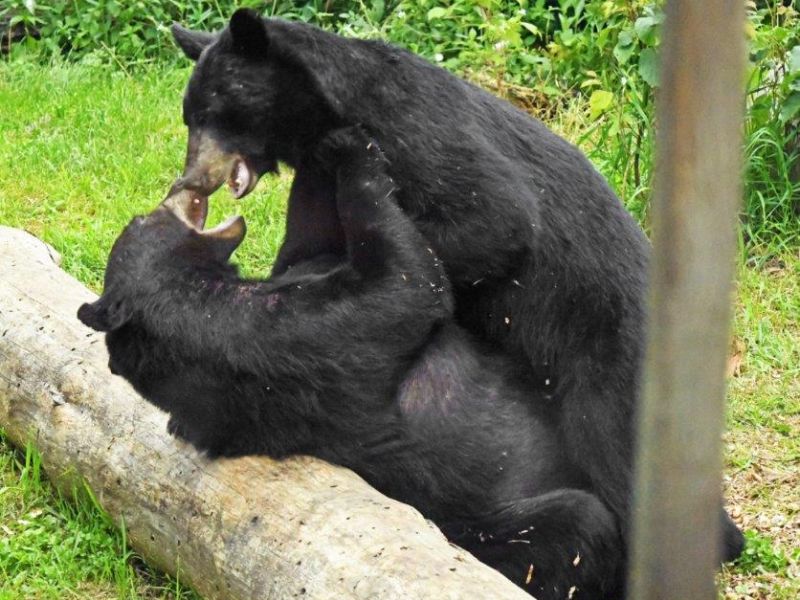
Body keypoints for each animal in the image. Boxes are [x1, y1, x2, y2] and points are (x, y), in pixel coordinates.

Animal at [79, 127, 624, 599]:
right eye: (142, 220)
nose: (178, 186)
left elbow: (319, 251)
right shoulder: (292, 344)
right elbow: (406, 287)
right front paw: (352, 153)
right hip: (506, 524)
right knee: (577, 529)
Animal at [166, 9, 744, 563]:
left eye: (216, 111)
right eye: (189, 115)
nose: (189, 180)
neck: (326, 122)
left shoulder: (414, 133)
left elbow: (493, 219)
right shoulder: (317, 175)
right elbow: (307, 242)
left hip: (606, 357)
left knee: (622, 451)